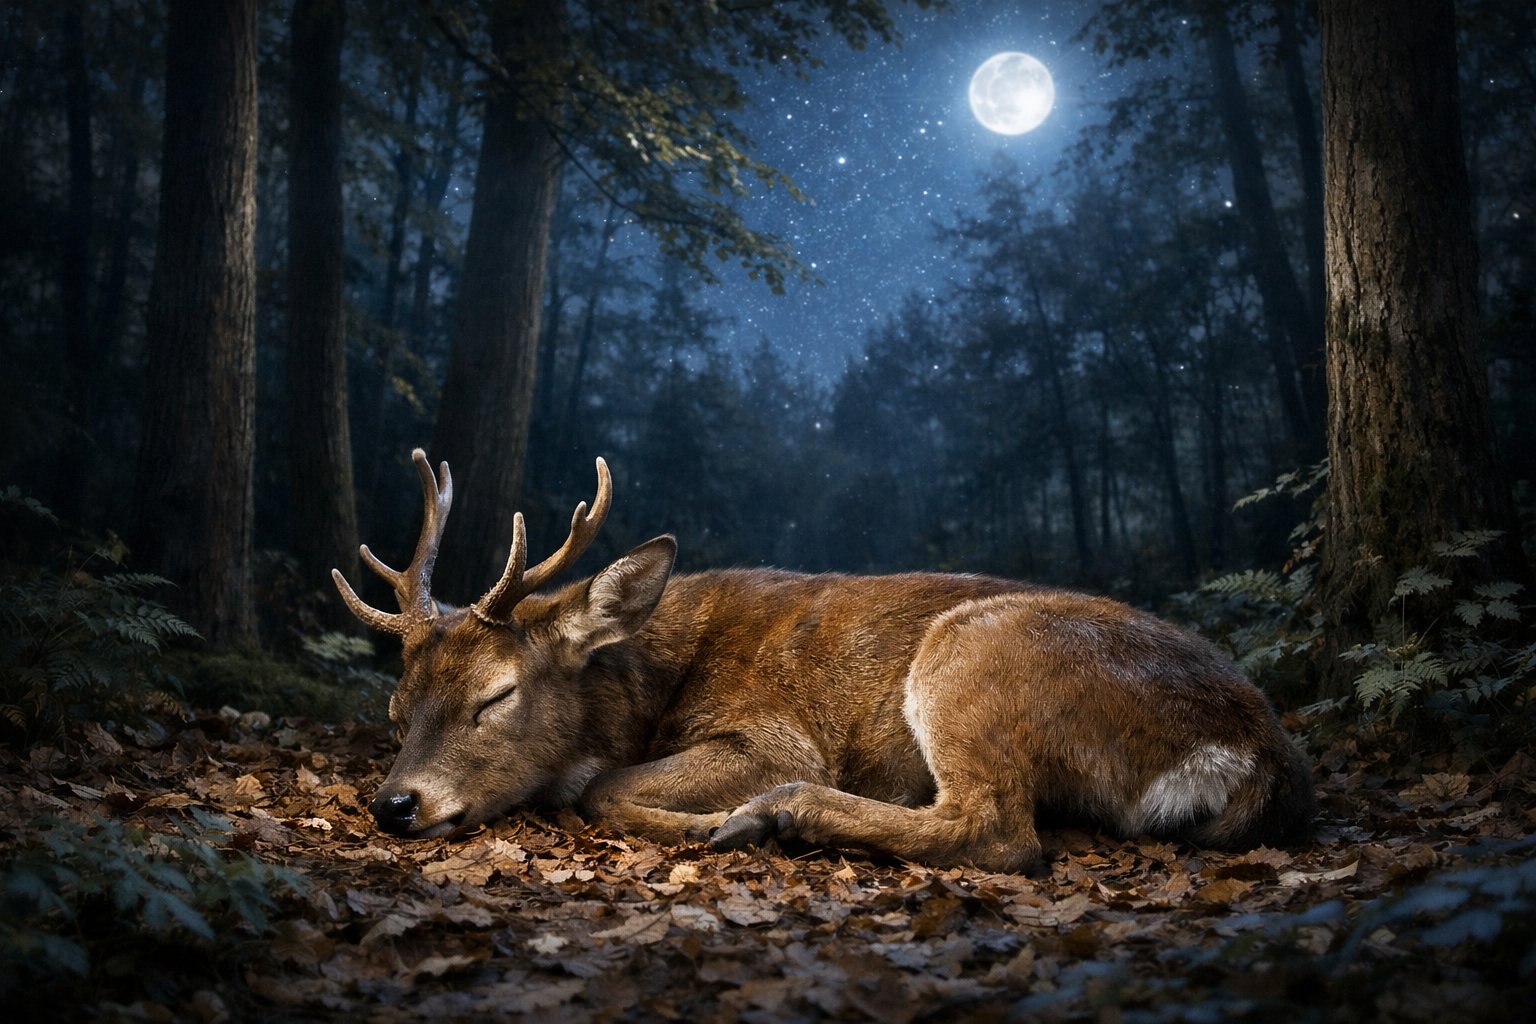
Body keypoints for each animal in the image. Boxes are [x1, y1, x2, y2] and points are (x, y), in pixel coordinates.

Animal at [334, 450, 1314, 873]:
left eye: (494, 697)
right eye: (395, 711)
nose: (395, 805)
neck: (643, 690)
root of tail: (1252, 753)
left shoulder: (774, 733)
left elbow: (597, 790)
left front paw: (714, 822)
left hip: (975, 655)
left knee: (999, 830)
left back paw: (776, 815)